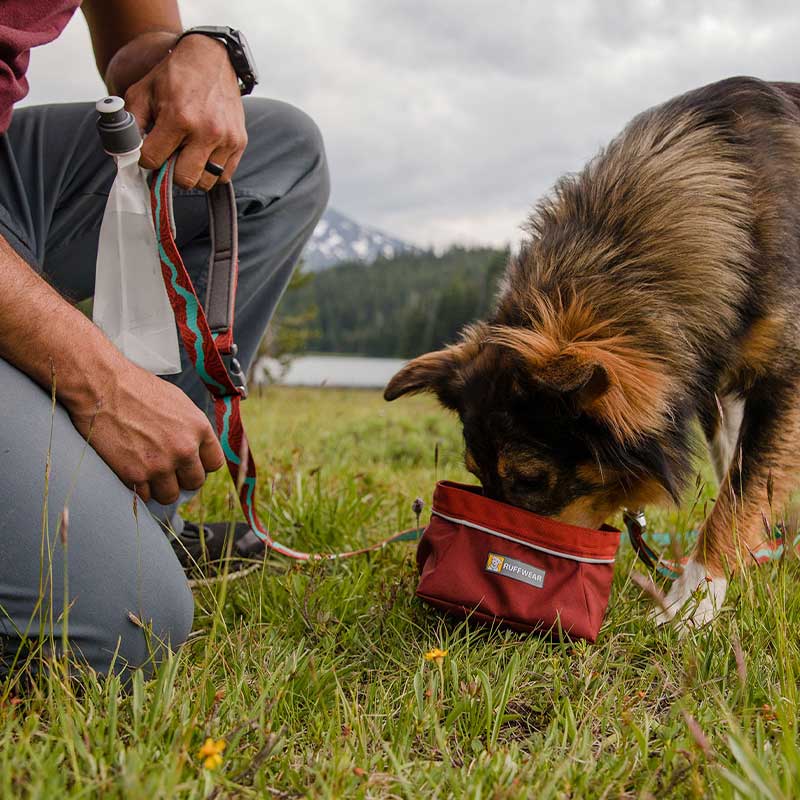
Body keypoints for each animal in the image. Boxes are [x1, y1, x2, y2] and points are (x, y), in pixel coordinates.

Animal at [384, 76, 800, 624]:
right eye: (474, 473)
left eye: (532, 480)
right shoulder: (717, 387)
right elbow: (739, 476)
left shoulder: (784, 383)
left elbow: (737, 494)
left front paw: (691, 603)